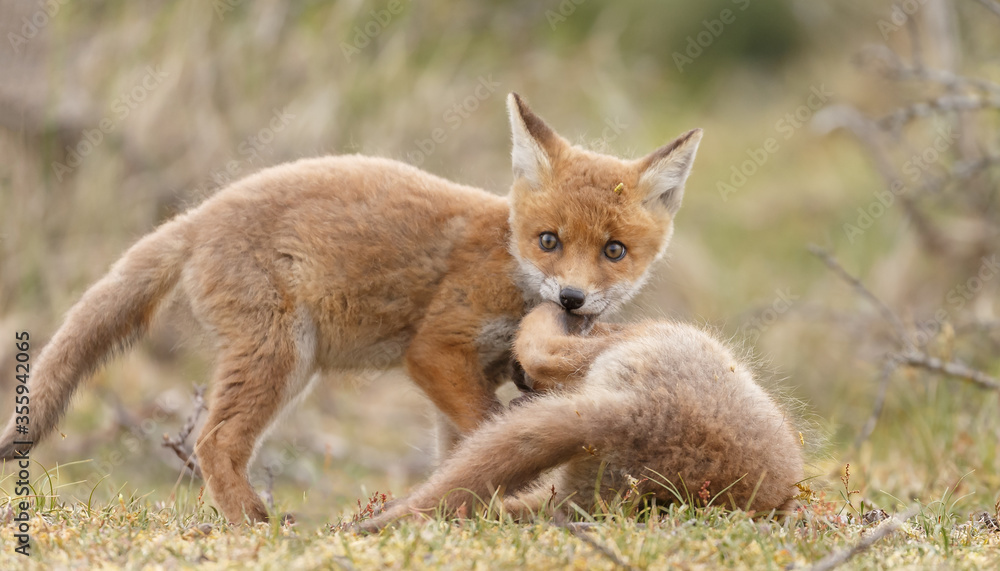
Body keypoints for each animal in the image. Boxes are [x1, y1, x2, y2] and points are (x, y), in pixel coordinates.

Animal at [0, 93, 702, 524]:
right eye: (549, 241)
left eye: (614, 251)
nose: (572, 298)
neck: (508, 260)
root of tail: (198, 215)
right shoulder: (436, 350)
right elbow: (487, 428)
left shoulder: (465, 375)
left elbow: (461, 451)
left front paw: (459, 514)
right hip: (282, 357)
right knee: (214, 441)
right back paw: (254, 529)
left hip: (291, 367)